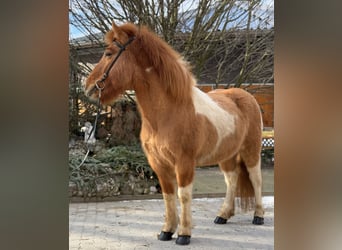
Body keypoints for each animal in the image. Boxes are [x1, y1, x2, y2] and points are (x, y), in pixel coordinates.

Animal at [85, 22, 264, 245]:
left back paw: (258, 216)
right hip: (226, 155)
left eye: (109, 53)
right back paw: (223, 215)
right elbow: (168, 196)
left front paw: (184, 234)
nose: (88, 87)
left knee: (256, 179)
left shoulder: (184, 162)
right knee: (231, 180)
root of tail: (246, 97)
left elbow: (183, 195)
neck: (168, 112)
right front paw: (167, 231)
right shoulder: (159, 164)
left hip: (251, 151)